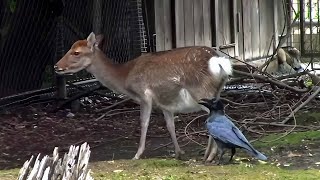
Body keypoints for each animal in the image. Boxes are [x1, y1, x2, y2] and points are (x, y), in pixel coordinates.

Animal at [53, 32, 231, 160]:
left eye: (76, 52)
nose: (56, 66)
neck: (125, 76)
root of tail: (220, 62)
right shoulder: (165, 103)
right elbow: (170, 125)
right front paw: (178, 152)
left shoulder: (144, 95)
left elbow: (144, 122)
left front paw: (137, 155)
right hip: (214, 92)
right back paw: (209, 154)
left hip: (202, 92)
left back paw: (210, 155)